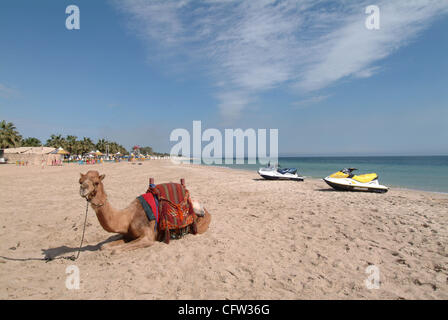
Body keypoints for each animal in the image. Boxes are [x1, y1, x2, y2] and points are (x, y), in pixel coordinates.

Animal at [79, 170, 212, 252]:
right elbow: (104, 246)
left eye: (96, 182)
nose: (83, 189)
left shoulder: (148, 236)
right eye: (80, 181)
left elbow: (115, 250)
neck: (128, 217)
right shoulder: (128, 234)